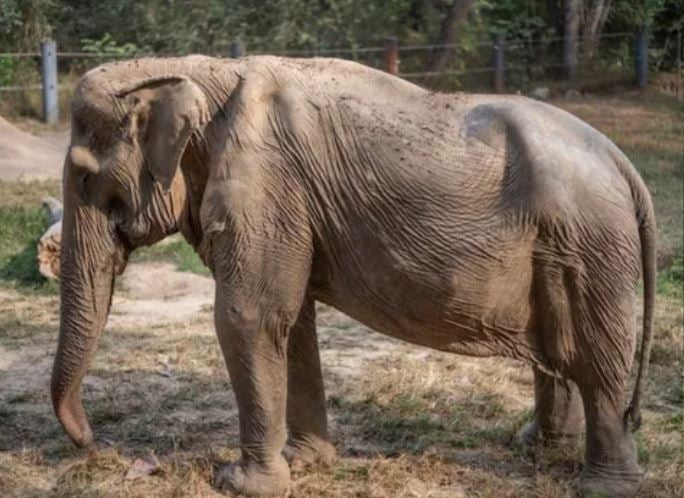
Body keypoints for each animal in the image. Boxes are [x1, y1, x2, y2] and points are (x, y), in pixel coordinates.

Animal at [51, 55, 656, 497]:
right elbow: (291, 323)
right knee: (562, 350)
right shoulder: (290, 206)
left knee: (597, 360)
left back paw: (604, 487)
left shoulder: (266, 185)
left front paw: (241, 484)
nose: (93, 444)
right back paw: (536, 448)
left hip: (592, 246)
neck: (196, 71)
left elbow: (248, 317)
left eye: (84, 179)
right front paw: (306, 462)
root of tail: (625, 164)